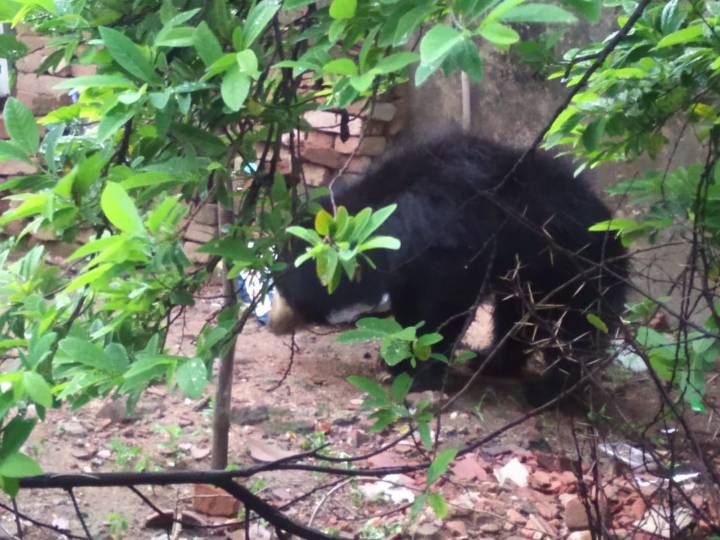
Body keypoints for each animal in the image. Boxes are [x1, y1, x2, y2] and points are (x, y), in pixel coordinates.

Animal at [268, 133, 628, 402]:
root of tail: (617, 239)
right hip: (530, 280)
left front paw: (418, 375)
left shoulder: (452, 247)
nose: (274, 324)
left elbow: (444, 311)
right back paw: (492, 362)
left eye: (290, 292)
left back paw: (549, 391)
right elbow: (413, 307)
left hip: (577, 277)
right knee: (515, 318)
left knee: (574, 334)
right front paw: (397, 360)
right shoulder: (414, 267)